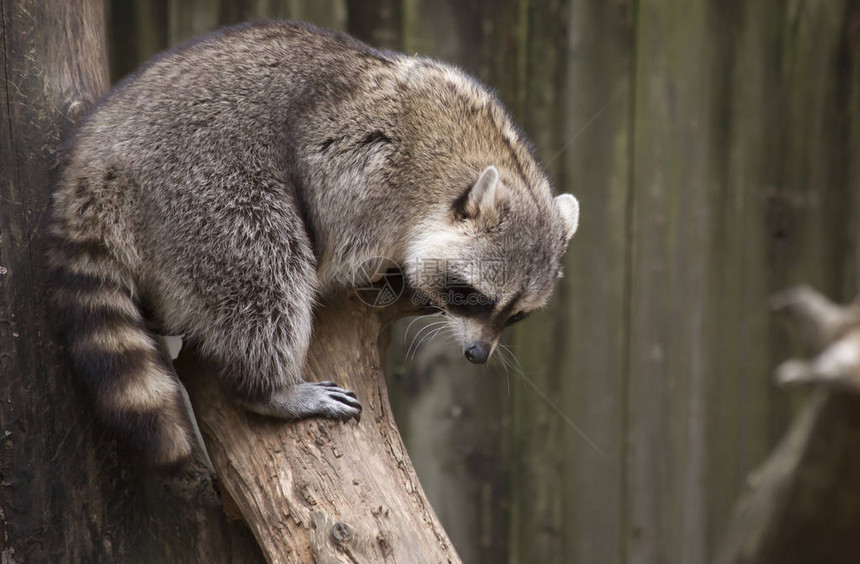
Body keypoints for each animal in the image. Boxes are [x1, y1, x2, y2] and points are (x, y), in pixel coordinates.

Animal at [47, 22, 576, 464]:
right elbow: (334, 248)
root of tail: (98, 154)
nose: (477, 355)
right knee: (263, 267)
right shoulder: (365, 170)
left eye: (517, 316)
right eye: (471, 296)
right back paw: (266, 390)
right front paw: (389, 274)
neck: (473, 153)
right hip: (201, 180)